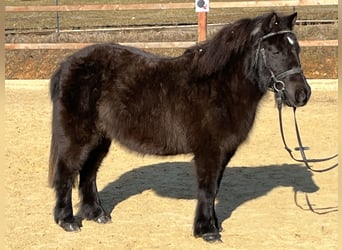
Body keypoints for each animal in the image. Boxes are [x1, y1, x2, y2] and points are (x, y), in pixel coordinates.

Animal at [48, 12, 312, 242]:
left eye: (297, 49)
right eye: (275, 51)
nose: (302, 94)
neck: (220, 87)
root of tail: (67, 64)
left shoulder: (223, 152)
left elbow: (215, 188)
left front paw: (214, 224)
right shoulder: (209, 151)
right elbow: (207, 189)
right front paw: (207, 231)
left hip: (100, 139)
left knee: (88, 173)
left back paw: (97, 215)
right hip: (78, 137)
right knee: (67, 172)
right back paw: (67, 221)